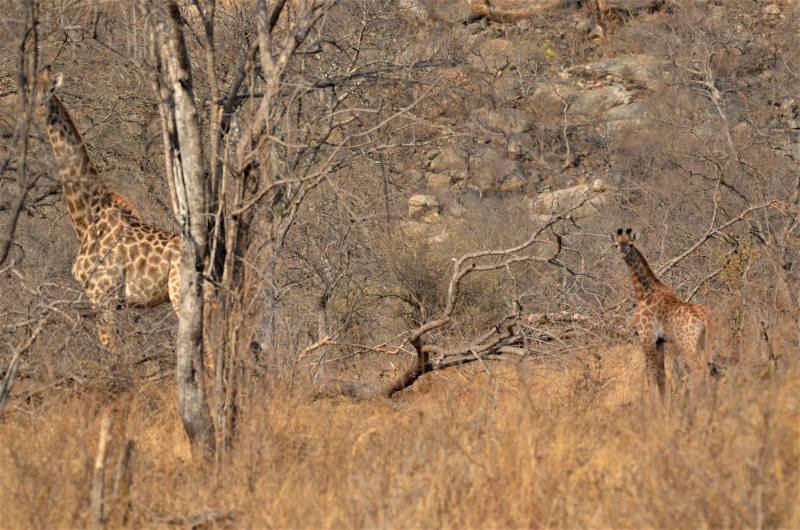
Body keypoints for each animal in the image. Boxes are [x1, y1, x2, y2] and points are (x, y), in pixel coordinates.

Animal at [32, 68, 182, 352]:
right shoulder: (114, 302)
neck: (87, 218)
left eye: (51, 90)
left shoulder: (103, 296)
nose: (36, 112)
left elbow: (110, 353)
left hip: (180, 296)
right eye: (30, 91)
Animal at [613, 228, 711, 399]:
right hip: (701, 342)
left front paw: (653, 404)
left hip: (687, 343)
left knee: (699, 369)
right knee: (707, 367)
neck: (645, 293)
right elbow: (661, 375)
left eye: (630, 244)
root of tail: (704, 317)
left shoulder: (646, 336)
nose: (622, 253)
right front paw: (664, 402)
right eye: (616, 245)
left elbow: (650, 375)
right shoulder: (659, 341)